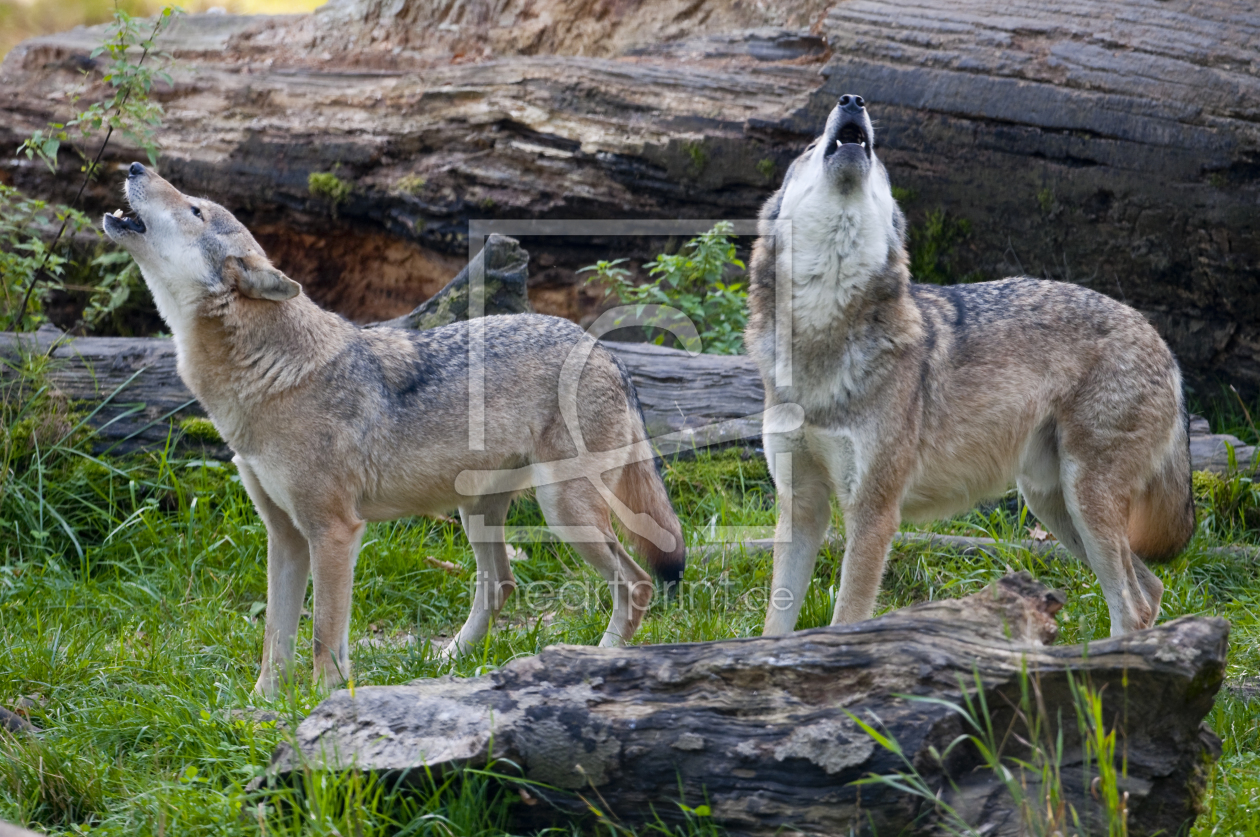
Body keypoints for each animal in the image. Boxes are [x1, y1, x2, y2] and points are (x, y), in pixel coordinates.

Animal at [103, 161, 685, 690]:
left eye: (195, 210)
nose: (133, 165)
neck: (268, 376)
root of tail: (602, 348)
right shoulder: (285, 535)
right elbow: (275, 639)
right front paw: (261, 710)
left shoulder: (334, 532)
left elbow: (323, 637)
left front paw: (323, 705)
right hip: (478, 514)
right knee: (501, 585)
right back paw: (450, 661)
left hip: (564, 513)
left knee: (636, 584)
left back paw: (595, 659)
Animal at [740, 94, 1194, 637]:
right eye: (809, 149)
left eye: (882, 167)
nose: (852, 100)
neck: (822, 338)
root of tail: (1160, 341)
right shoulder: (801, 508)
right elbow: (776, 620)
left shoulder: (874, 513)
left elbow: (847, 617)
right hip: (1053, 504)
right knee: (1152, 588)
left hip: (1085, 502)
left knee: (1133, 604)